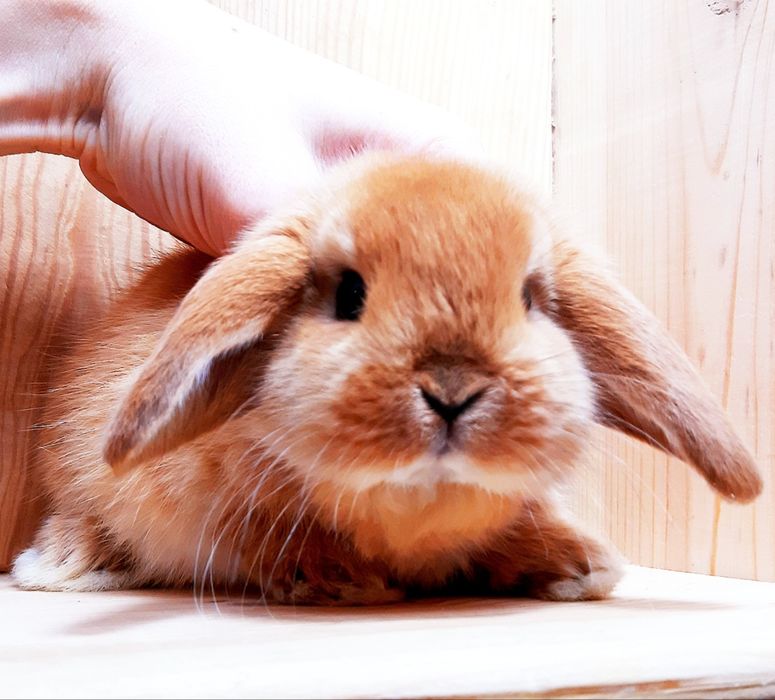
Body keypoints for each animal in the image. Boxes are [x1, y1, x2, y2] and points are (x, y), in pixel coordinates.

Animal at [12, 153, 763, 605]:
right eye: (349, 294)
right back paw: (60, 567)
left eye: (529, 299)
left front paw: (579, 566)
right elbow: (258, 532)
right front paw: (342, 580)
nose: (451, 389)